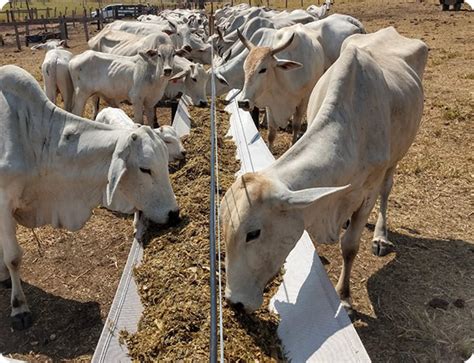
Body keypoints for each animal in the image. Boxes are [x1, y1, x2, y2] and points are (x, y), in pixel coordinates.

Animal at [220, 27, 428, 314]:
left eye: (253, 233)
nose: (234, 302)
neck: (351, 133)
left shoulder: (368, 192)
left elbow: (349, 246)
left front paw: (344, 296)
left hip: (398, 153)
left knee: (387, 190)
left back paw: (380, 236)